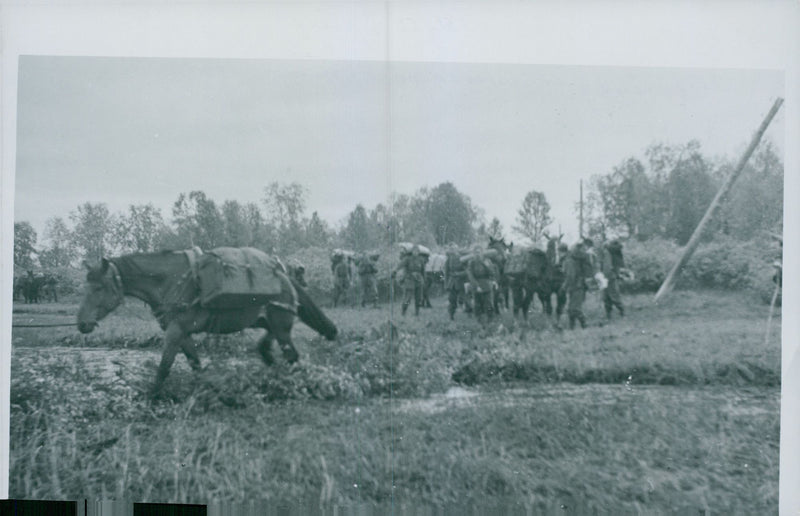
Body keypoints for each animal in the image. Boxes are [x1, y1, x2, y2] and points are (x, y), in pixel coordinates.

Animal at [76, 248, 336, 394]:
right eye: (85, 286)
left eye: (98, 287)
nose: (81, 324)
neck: (170, 281)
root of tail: (286, 278)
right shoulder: (183, 334)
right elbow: (196, 365)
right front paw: (209, 391)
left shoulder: (175, 332)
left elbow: (163, 368)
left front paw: (151, 399)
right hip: (270, 324)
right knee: (267, 349)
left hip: (281, 327)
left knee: (292, 356)